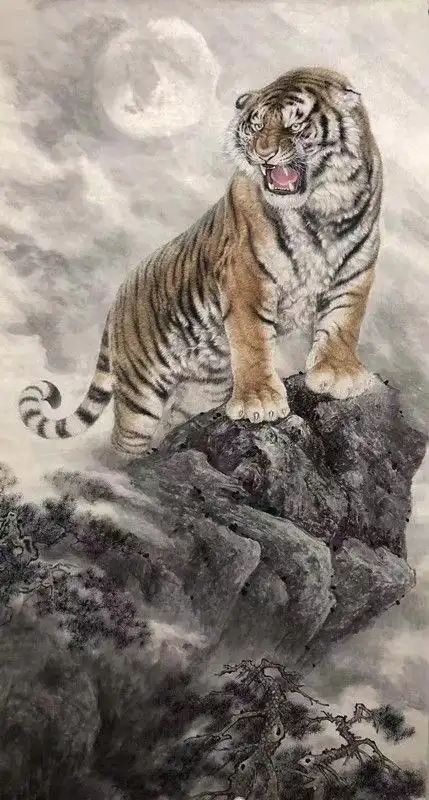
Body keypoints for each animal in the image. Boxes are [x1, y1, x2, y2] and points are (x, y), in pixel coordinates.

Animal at [19, 66, 383, 457]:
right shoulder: (246, 277)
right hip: (141, 394)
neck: (322, 209)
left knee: (173, 423)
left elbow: (344, 323)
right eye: (255, 126)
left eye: (295, 126)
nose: (263, 154)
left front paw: (340, 376)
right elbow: (253, 343)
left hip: (201, 391)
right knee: (124, 442)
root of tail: (118, 298)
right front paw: (259, 403)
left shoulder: (355, 271)